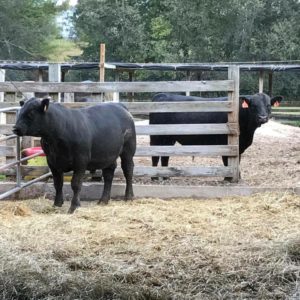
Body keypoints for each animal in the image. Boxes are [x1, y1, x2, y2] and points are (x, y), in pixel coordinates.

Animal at [149, 92, 282, 179]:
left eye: (268, 105)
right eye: (253, 105)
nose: (262, 117)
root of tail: (161, 95)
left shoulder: (238, 147)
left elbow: (237, 162)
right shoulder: (226, 144)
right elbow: (227, 161)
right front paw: (228, 178)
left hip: (168, 138)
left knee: (165, 156)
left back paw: (166, 176)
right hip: (156, 137)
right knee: (155, 156)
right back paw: (154, 177)